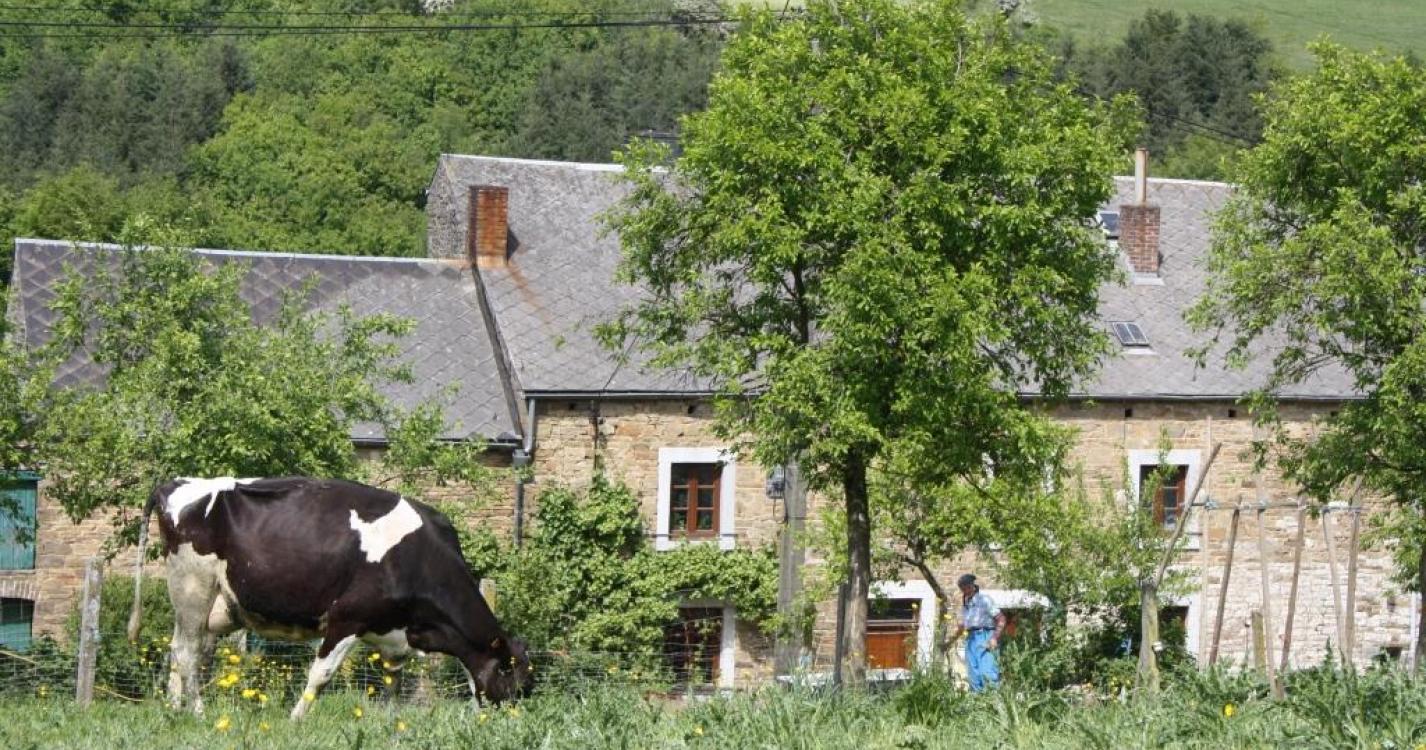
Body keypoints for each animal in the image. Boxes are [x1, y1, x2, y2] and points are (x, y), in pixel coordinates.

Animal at [125, 476, 533, 718]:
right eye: (513, 684)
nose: (512, 721)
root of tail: (177, 483)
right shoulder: (347, 617)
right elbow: (321, 674)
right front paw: (295, 720)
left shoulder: (393, 631)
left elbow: (393, 680)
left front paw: (390, 723)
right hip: (193, 585)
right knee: (188, 652)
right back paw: (197, 711)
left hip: (209, 603)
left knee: (179, 648)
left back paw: (174, 709)